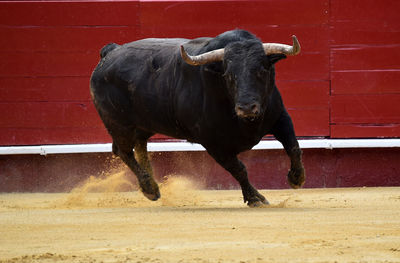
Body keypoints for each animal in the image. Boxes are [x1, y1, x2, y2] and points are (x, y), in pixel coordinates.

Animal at [90, 28, 304, 206]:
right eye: (228, 75)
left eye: (261, 70)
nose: (246, 107)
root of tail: (110, 52)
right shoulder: (214, 144)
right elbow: (239, 169)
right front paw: (254, 198)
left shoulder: (280, 117)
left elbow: (293, 147)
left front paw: (296, 179)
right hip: (119, 125)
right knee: (123, 151)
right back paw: (150, 188)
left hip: (144, 124)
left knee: (140, 146)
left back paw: (153, 185)